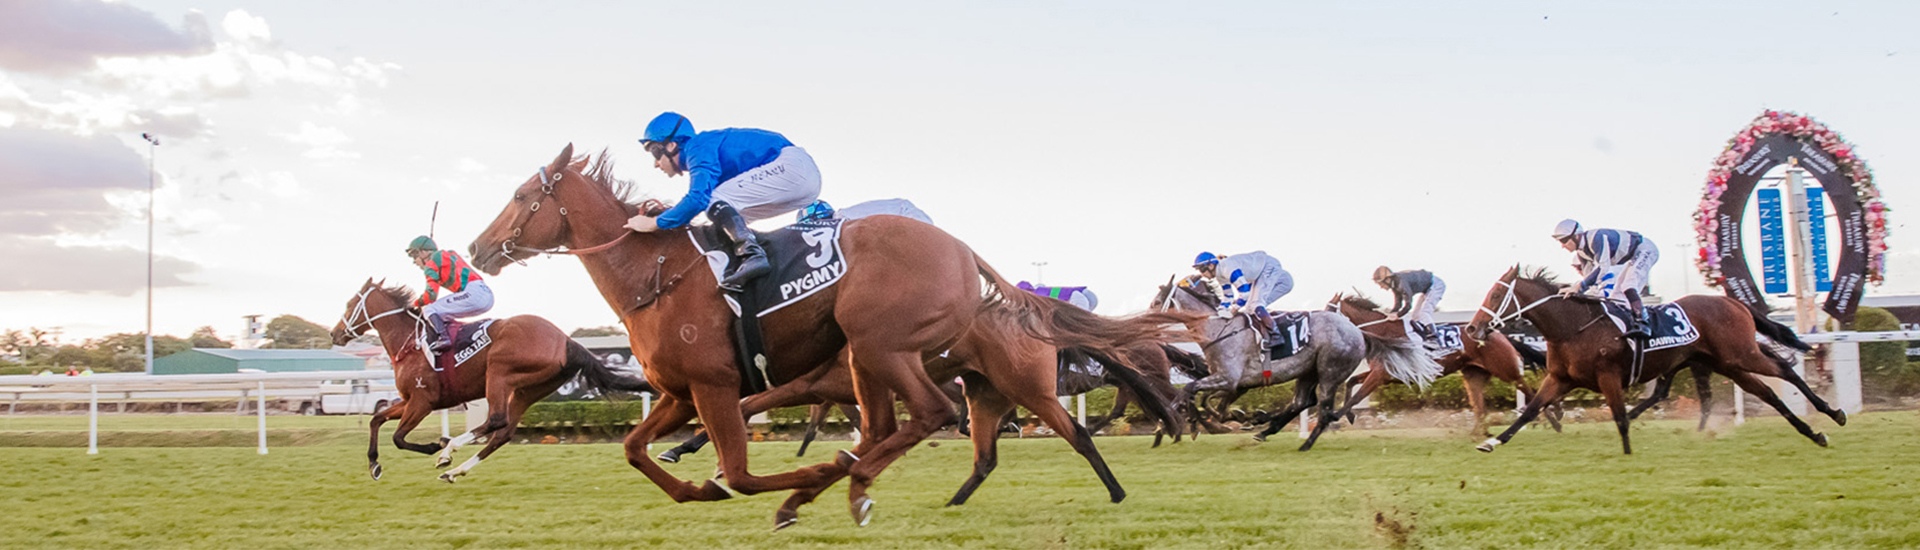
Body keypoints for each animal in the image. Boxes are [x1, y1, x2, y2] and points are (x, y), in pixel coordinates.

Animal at [330, 278, 652, 480]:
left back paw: (449, 451)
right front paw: (374, 464)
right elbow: (376, 420)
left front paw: (435, 446)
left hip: (499, 372)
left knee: (496, 420)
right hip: (528, 389)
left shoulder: (422, 402)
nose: (335, 333)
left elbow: (398, 438)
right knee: (503, 432)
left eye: (349, 304)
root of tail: (565, 340)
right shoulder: (409, 400)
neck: (409, 343)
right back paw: (454, 471)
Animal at [462, 144, 1190, 526]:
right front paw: (694, 485)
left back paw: (842, 480)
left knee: (932, 414)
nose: (477, 247)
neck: (659, 274)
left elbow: (741, 471)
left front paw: (790, 475)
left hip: (884, 346)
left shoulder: (717, 385)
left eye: (524, 196)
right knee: (899, 425)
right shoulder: (679, 390)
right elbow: (635, 450)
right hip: (878, 362)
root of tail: (961, 250)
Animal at [1136, 275, 1443, 451]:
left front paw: (1186, 419)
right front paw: (1240, 417)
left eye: (1156, 301)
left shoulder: (1230, 379)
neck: (1219, 330)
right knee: (1301, 402)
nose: (1142, 321)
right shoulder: (1232, 381)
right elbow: (1210, 403)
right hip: (1307, 371)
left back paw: (1305, 443)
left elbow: (1193, 393)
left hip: (1330, 371)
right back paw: (1265, 428)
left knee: (1323, 409)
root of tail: (1359, 331)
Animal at [1328, 292, 1566, 434]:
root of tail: (1501, 335)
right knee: (1481, 408)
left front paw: (1334, 416)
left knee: (1531, 391)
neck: (1382, 333)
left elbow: (1357, 395)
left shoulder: (1380, 376)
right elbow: (1351, 383)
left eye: (1330, 310)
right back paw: (1479, 434)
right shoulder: (1383, 375)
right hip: (1473, 375)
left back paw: (1554, 421)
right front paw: (1347, 415)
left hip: (1506, 370)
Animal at [1459, 263, 1850, 453]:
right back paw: (1815, 434)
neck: (1574, 327)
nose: (1473, 329)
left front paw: (1628, 455)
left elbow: (1620, 417)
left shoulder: (1608, 377)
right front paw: (1491, 442)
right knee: (1767, 394)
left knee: (1785, 370)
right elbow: (1529, 411)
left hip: (1741, 354)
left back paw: (1834, 413)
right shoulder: (1561, 379)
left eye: (1496, 296)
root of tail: (1731, 301)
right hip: (1726, 364)